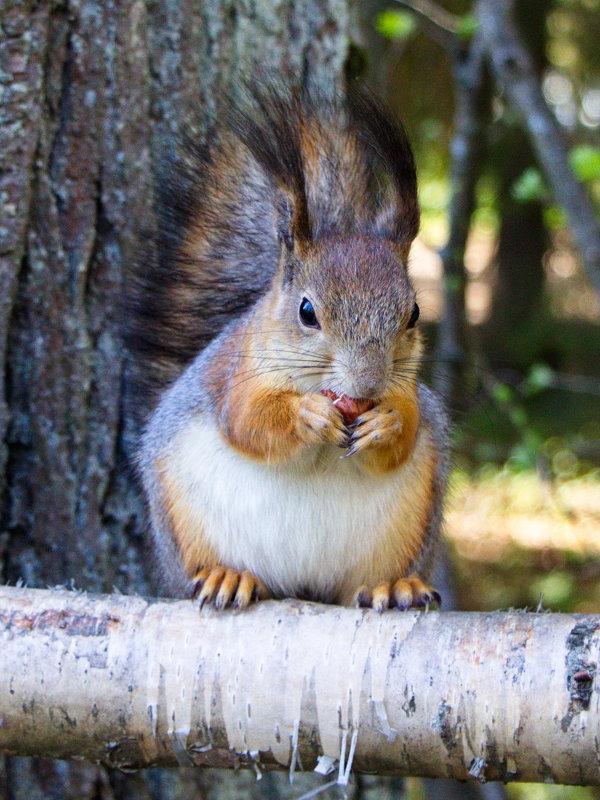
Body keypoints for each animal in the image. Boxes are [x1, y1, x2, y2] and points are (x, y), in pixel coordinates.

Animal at [131, 84, 450, 612]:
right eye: (306, 311)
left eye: (413, 314)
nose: (368, 385)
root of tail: (301, 586)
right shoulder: (234, 374)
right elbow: (248, 422)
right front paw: (306, 416)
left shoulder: (407, 389)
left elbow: (404, 435)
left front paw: (386, 423)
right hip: (183, 522)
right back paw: (226, 575)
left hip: (410, 525)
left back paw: (392, 585)